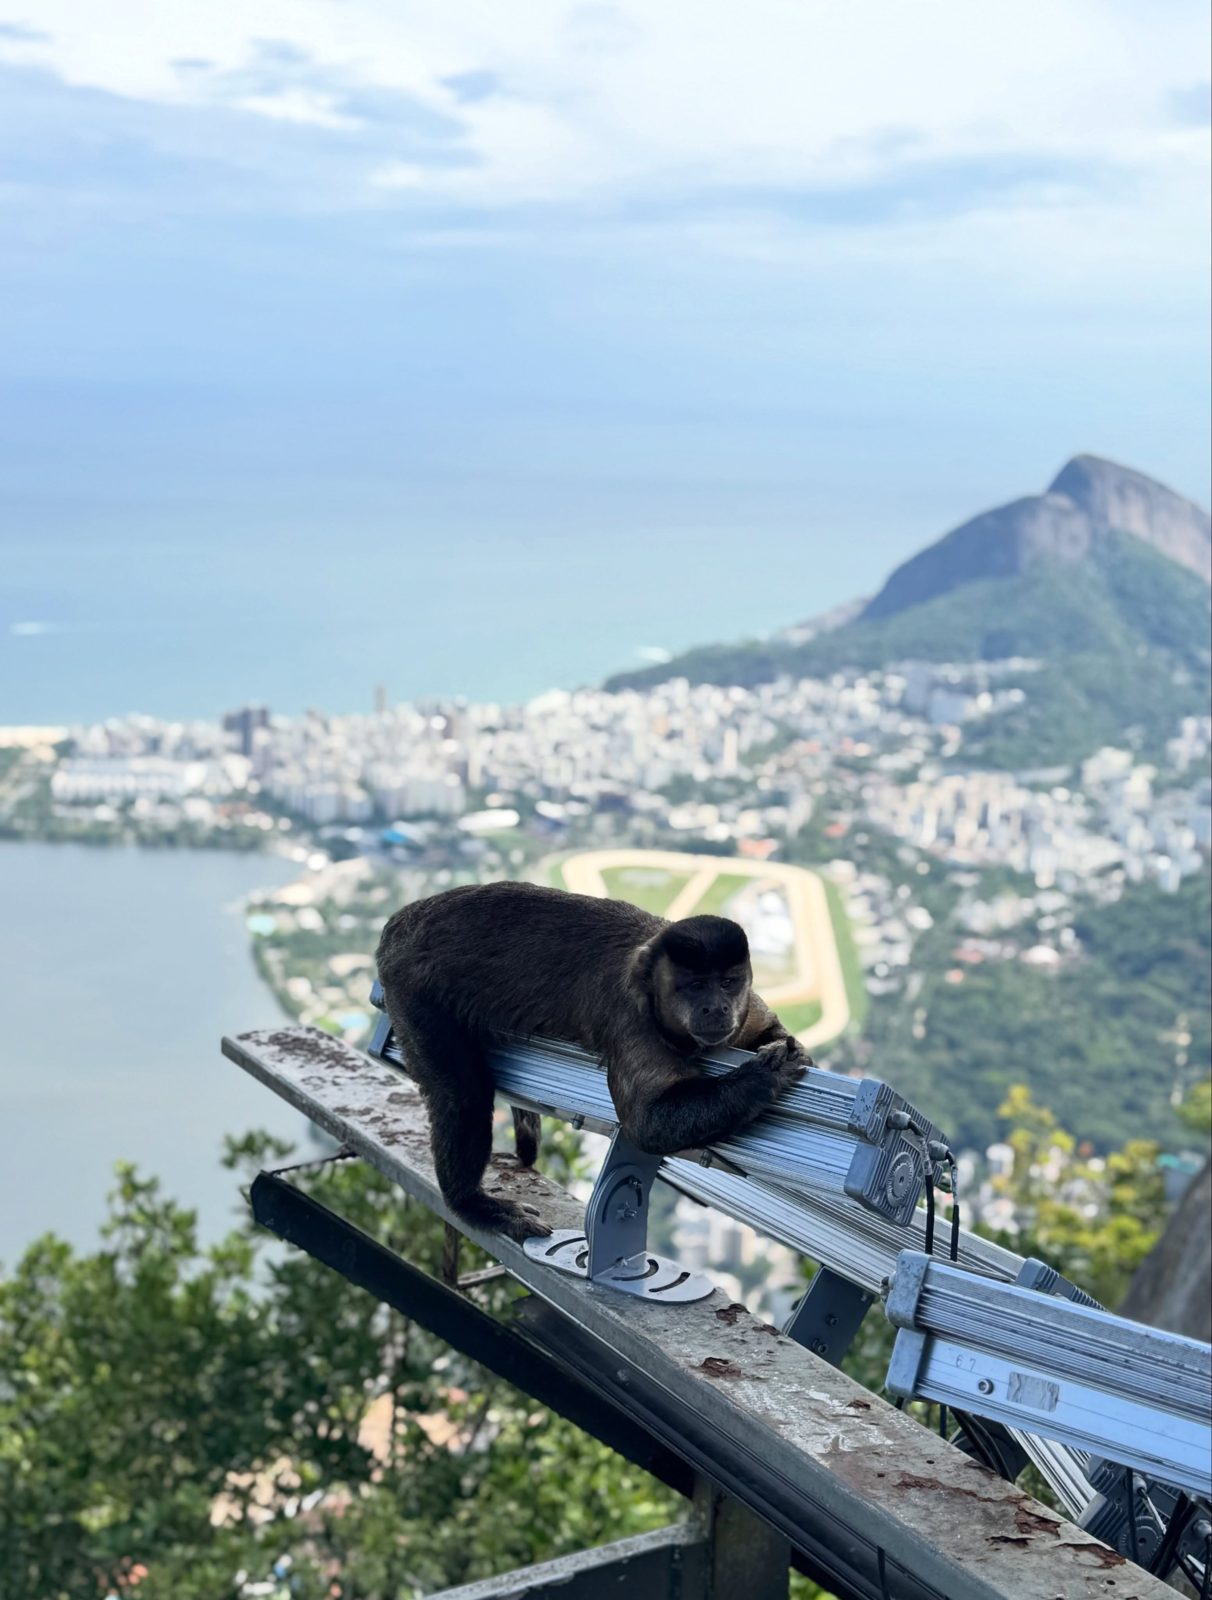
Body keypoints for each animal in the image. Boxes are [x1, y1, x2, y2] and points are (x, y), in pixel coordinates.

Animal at [375, 880, 812, 1242]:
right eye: (695, 986)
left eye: (727, 983)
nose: (715, 1008)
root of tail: (402, 919)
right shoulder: (631, 1017)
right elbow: (646, 1123)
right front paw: (762, 1077)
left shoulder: (744, 1010)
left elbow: (772, 1032)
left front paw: (782, 1049)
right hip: (410, 982)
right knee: (462, 1095)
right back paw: (469, 1203)